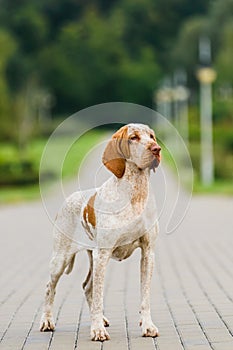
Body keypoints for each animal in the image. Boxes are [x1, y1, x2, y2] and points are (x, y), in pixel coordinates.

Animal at [39, 122, 161, 340]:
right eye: (134, 137)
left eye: (151, 136)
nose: (157, 149)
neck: (135, 194)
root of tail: (69, 199)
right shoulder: (102, 254)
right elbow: (98, 297)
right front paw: (97, 330)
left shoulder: (148, 253)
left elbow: (145, 296)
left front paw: (147, 326)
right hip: (61, 259)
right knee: (50, 287)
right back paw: (47, 321)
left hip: (91, 257)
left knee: (87, 287)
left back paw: (101, 319)